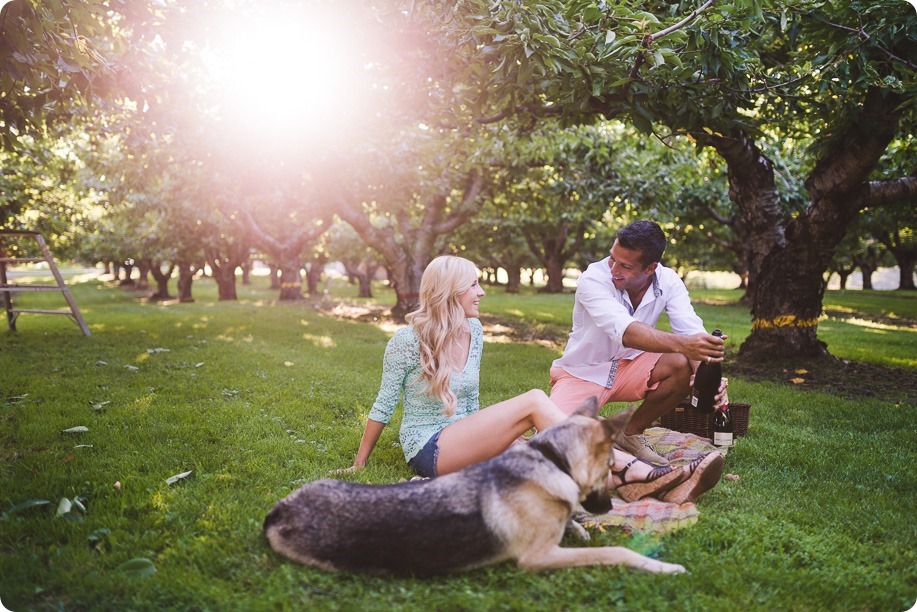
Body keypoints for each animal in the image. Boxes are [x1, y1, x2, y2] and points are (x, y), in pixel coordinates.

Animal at [262, 400, 684, 576]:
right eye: (610, 468)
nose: (610, 510)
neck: (551, 460)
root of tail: (279, 511)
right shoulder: (538, 557)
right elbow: (617, 551)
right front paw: (663, 565)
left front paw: (577, 524)